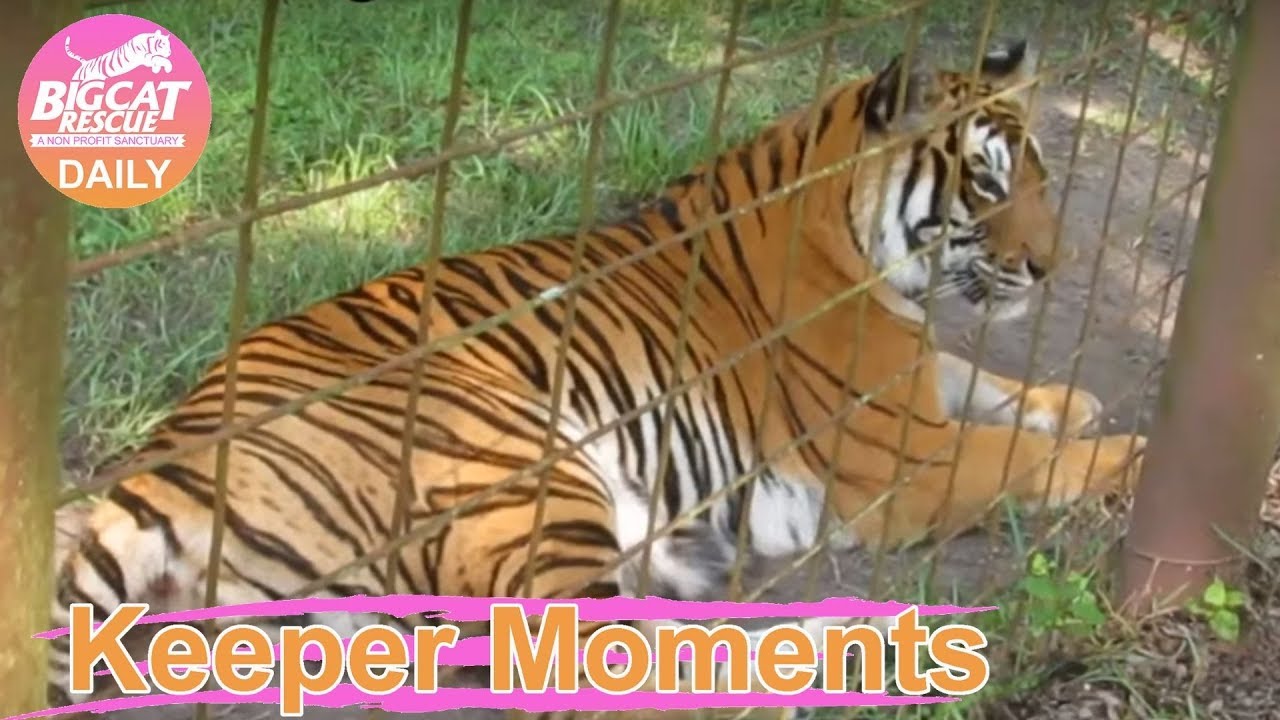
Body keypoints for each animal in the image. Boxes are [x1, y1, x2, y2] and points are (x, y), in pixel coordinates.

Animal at [46, 38, 1145, 719]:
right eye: (987, 185)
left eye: (1042, 175)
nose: (1053, 267)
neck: (857, 243)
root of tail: (164, 463)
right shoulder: (898, 460)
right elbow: (1022, 456)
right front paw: (1129, 451)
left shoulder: (916, 384)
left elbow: (988, 384)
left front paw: (1074, 401)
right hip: (530, 482)